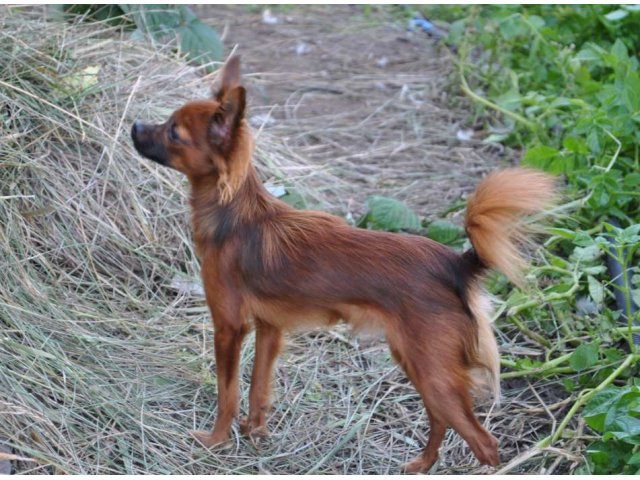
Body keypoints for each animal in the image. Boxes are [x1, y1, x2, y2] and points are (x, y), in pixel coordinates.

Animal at [130, 56, 556, 472]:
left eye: (173, 133)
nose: (134, 125)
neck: (232, 213)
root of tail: (456, 264)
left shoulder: (229, 327)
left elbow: (228, 391)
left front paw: (216, 440)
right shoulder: (270, 328)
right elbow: (257, 388)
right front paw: (255, 431)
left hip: (431, 371)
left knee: (484, 442)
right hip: (419, 363)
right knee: (440, 421)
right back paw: (420, 464)